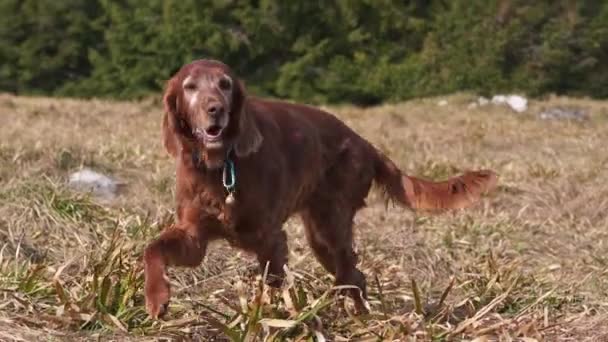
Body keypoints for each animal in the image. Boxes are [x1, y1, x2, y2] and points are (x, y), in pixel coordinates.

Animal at [144, 59, 498, 318]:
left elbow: (274, 283)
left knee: (351, 275)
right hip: (321, 236)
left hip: (330, 226)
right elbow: (153, 248)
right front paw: (157, 299)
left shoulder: (270, 237)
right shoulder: (194, 236)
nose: (215, 108)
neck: (222, 166)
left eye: (225, 84)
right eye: (190, 87)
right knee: (355, 276)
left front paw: (273, 318)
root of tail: (363, 143)